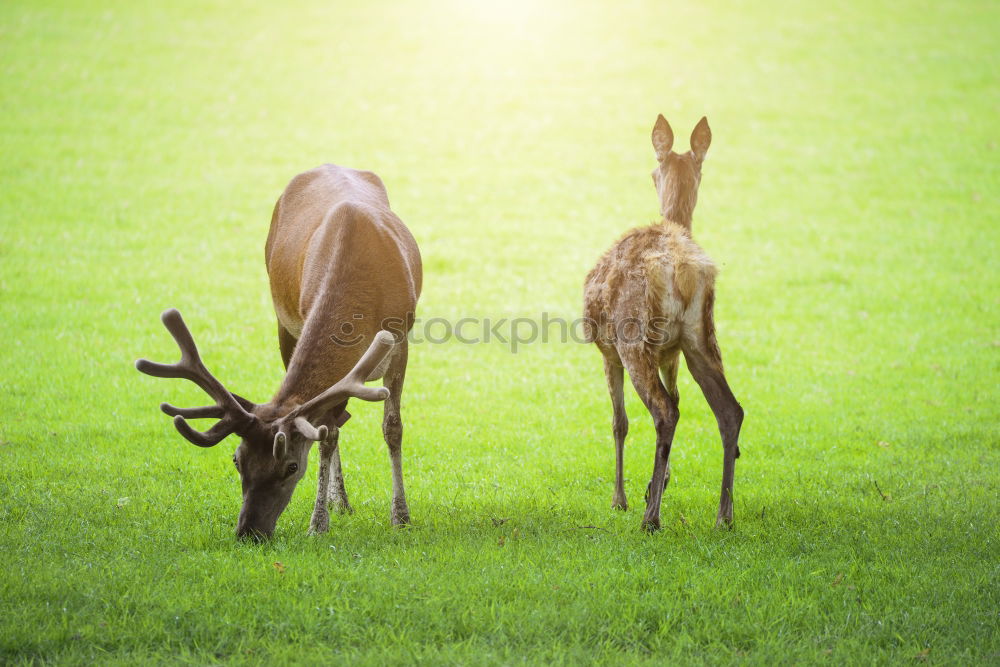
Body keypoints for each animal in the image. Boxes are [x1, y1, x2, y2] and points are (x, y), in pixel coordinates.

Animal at [137, 164, 422, 540]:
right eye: (237, 460)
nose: (249, 532)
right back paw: (339, 501)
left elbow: (392, 427)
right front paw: (319, 522)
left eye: (290, 466)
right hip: (283, 324)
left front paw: (401, 517)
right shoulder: (302, 323)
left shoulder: (400, 340)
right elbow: (328, 433)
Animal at [584, 116, 740, 532]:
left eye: (653, 172)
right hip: (701, 335)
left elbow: (619, 421)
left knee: (663, 411)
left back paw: (650, 519)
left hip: (633, 339)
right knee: (729, 410)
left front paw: (621, 499)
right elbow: (681, 400)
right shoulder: (671, 354)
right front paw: (659, 482)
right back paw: (724, 514)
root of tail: (682, 271)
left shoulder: (607, 353)